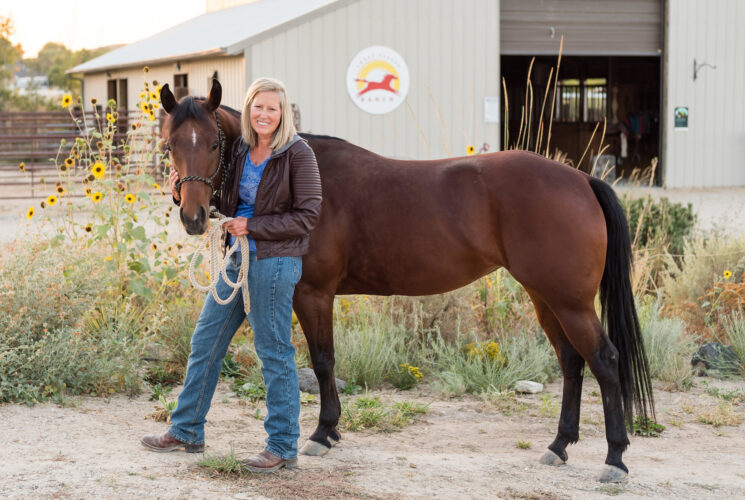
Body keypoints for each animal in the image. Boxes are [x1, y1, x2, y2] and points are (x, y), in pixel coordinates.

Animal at [159, 79, 654, 483]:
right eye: (169, 145)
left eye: (213, 142)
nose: (193, 217)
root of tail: (583, 179)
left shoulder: (313, 294)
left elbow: (322, 361)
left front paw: (322, 432)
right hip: (545, 297)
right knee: (571, 361)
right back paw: (558, 446)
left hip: (570, 302)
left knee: (604, 360)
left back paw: (615, 459)